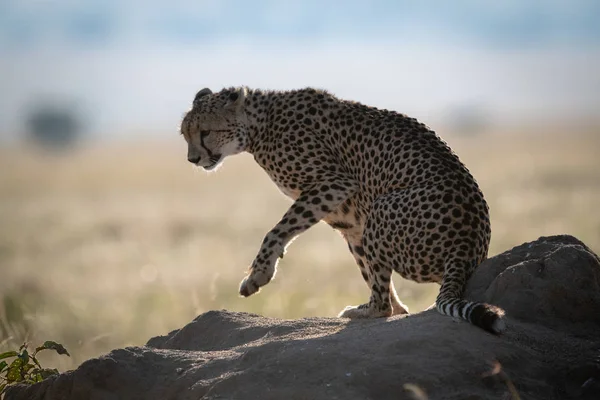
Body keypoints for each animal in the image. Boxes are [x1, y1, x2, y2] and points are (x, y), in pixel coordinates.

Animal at [179, 86, 506, 334]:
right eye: (185, 134)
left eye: (205, 132)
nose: (193, 159)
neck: (260, 125)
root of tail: (467, 244)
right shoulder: (349, 218)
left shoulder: (335, 182)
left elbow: (277, 230)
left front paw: (257, 274)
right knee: (385, 294)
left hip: (381, 207)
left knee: (381, 304)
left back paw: (363, 311)